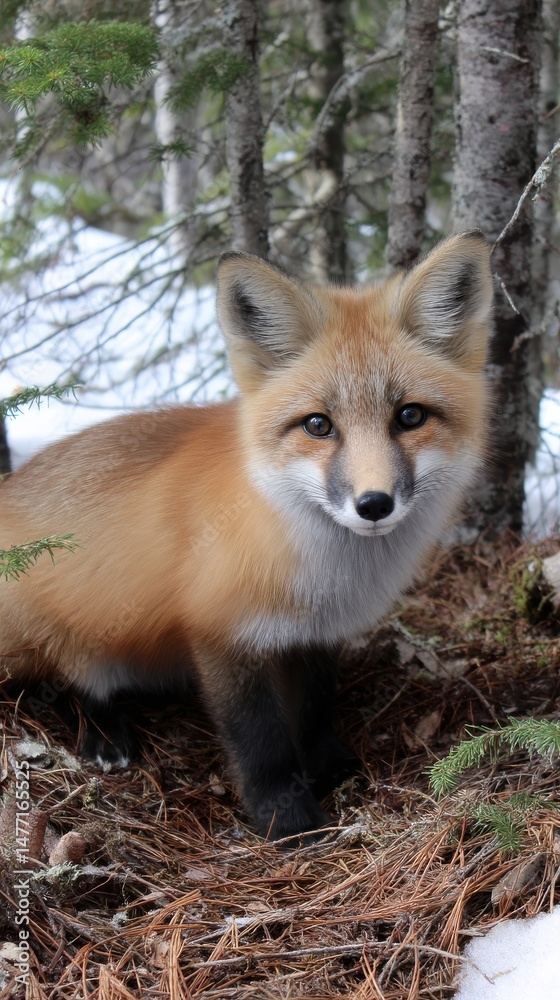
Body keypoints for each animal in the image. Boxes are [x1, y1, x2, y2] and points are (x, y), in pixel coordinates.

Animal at [0, 232, 493, 839]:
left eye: (410, 416)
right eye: (317, 425)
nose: (374, 504)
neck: (327, 568)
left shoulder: (315, 635)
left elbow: (313, 710)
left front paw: (328, 768)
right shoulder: (219, 631)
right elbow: (259, 738)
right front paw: (286, 817)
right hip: (73, 629)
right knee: (73, 684)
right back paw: (104, 735)